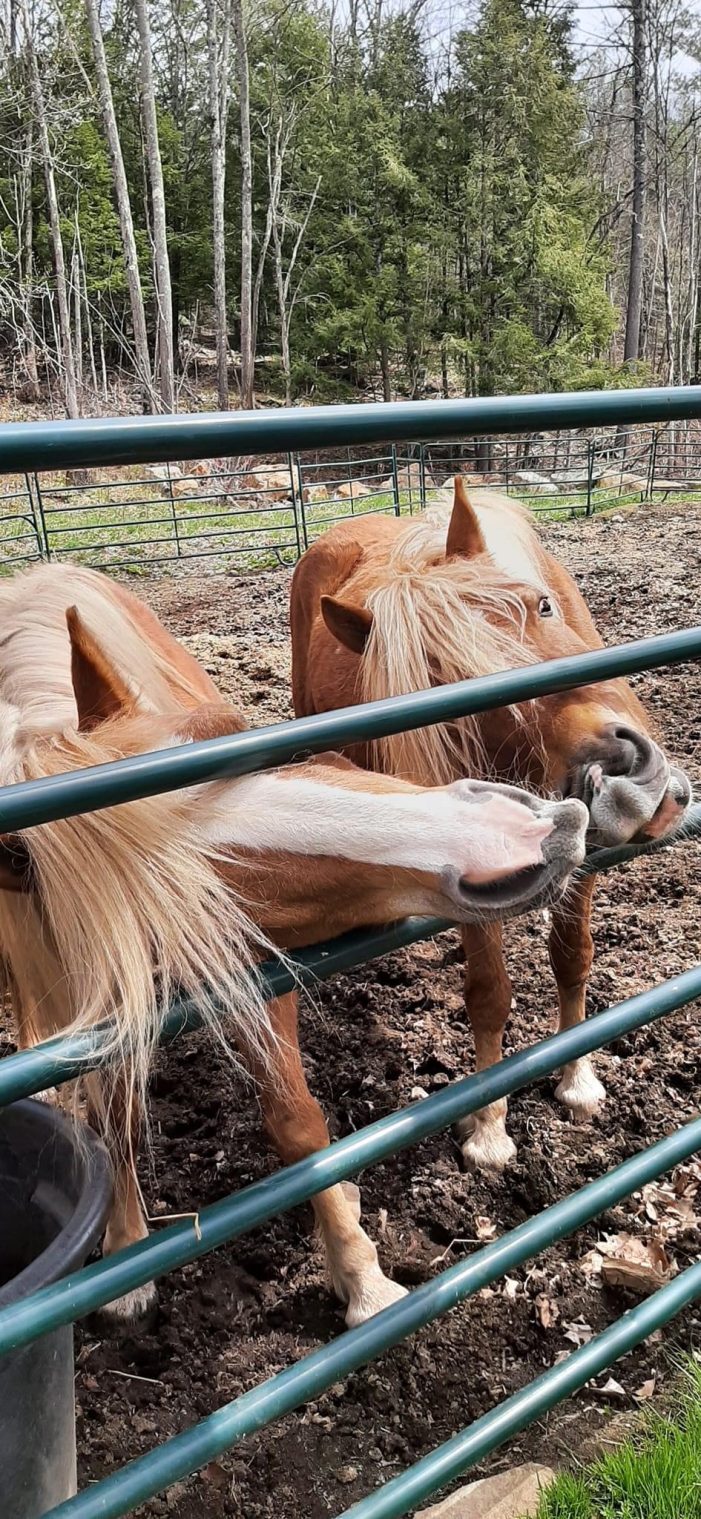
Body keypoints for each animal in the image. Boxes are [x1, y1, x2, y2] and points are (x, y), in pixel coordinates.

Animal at [0, 565, 583, 1324]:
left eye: (231, 738)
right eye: (191, 905)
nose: (521, 831)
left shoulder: (257, 970)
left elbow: (297, 1123)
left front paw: (361, 1276)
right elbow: (111, 1114)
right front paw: (125, 1256)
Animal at [288, 480, 687, 1166]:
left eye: (543, 605)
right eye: (444, 687)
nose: (623, 776)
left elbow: (573, 957)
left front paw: (577, 1078)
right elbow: (489, 995)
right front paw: (489, 1127)